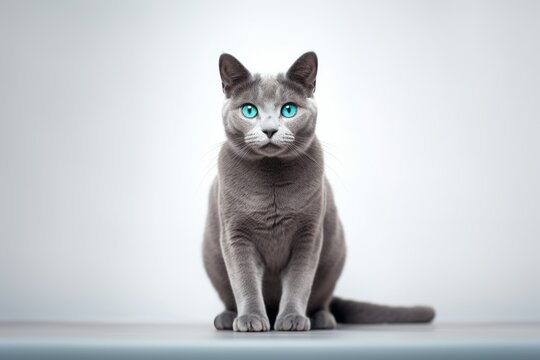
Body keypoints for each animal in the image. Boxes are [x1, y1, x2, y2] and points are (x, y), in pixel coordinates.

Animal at [202, 51, 434, 332]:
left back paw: (321, 318)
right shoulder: (235, 234)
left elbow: (299, 281)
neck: (271, 177)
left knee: (322, 299)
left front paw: (292, 318)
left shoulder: (309, 234)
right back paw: (227, 318)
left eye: (288, 109)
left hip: (334, 255)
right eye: (249, 110)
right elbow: (244, 280)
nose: (270, 130)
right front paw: (250, 319)